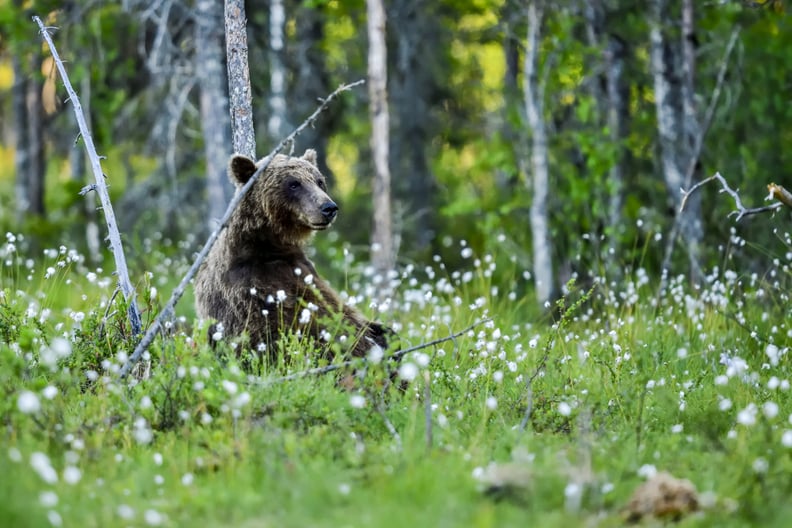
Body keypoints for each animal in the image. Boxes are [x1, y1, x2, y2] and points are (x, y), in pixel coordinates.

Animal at [193, 147, 390, 364]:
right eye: (294, 183)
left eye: (319, 181)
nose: (329, 208)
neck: (271, 247)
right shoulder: (249, 291)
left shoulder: (304, 270)